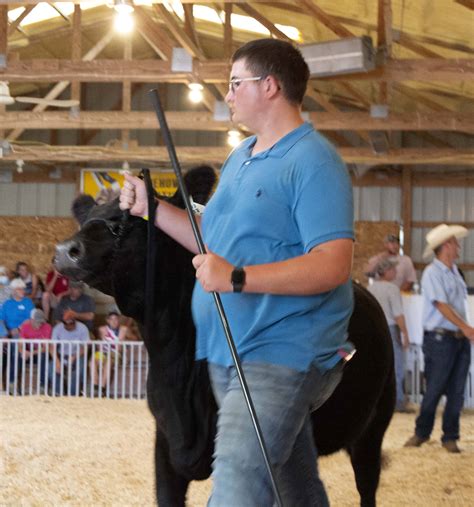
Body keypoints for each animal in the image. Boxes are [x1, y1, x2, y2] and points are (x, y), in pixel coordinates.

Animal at [55, 168, 396, 507]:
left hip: (373, 428)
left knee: (366, 485)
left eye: (131, 221)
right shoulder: (165, 446)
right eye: (85, 221)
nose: (65, 252)